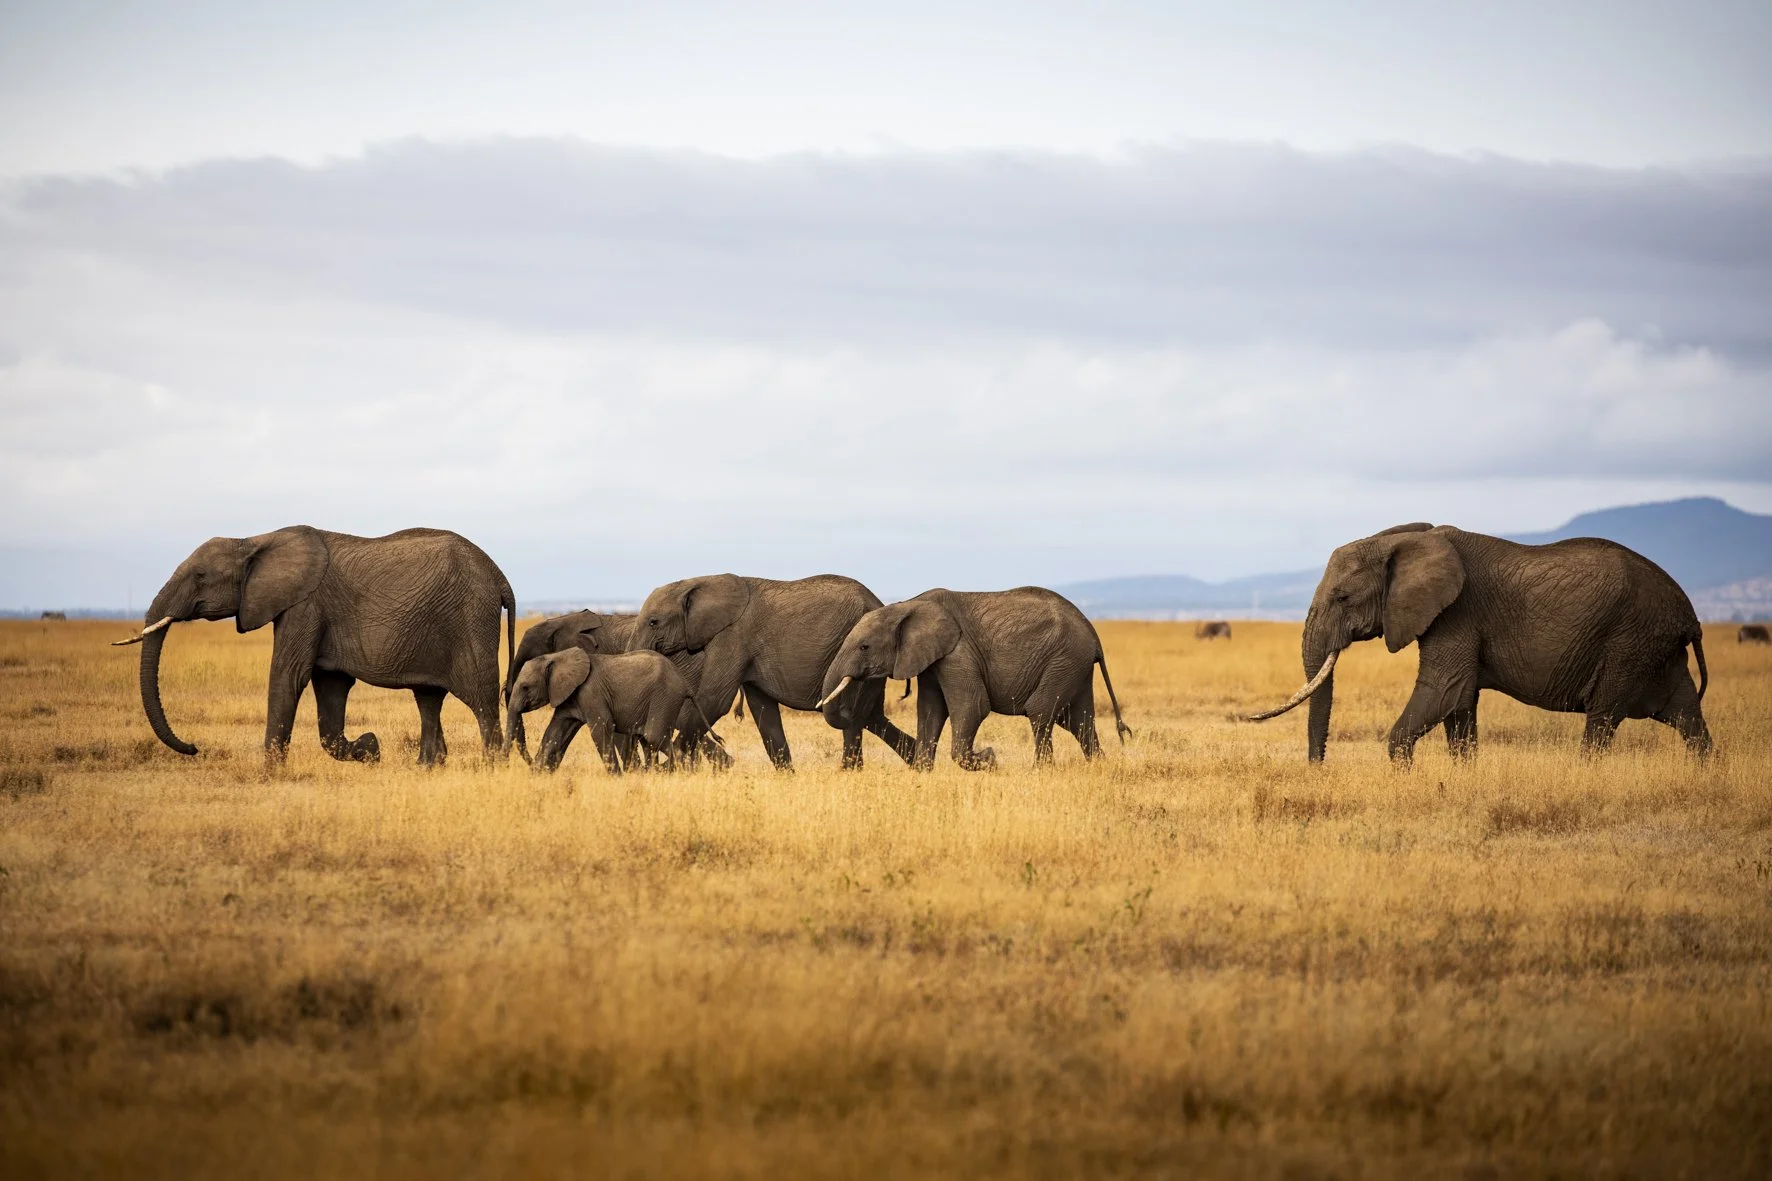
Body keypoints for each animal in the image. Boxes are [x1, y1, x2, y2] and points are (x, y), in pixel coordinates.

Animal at [114, 526, 514, 765]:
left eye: (200, 576)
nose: (194, 747)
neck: (254, 540)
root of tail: (500, 577)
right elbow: (331, 686)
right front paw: (371, 748)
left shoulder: (304, 605)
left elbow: (288, 674)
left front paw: (271, 772)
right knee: (428, 698)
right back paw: (427, 766)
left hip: (470, 619)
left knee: (480, 698)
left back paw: (492, 767)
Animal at [507, 648, 719, 773]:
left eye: (525, 687)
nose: (530, 764)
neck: (556, 656)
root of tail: (684, 681)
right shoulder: (569, 696)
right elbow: (555, 731)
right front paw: (537, 773)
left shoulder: (591, 692)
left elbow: (600, 730)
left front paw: (616, 776)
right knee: (647, 740)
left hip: (665, 696)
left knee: (654, 736)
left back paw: (680, 772)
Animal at [630, 574, 918, 770]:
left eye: (653, 622)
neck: (700, 581)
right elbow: (763, 711)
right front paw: (787, 775)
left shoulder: (733, 637)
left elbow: (714, 700)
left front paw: (670, 767)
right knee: (871, 716)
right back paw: (918, 761)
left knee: (858, 714)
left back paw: (851, 772)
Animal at [816, 587, 1132, 770]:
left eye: (864, 647)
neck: (906, 605)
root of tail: (1094, 635)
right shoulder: (932, 659)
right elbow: (930, 711)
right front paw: (922, 772)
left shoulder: (958, 652)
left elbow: (973, 706)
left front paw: (989, 760)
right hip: (1074, 665)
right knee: (1078, 720)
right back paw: (1099, 767)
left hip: (1065, 658)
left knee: (1041, 711)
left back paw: (1042, 772)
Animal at [1244, 523, 1710, 764]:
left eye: (1342, 598)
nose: (1317, 769)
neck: (1404, 539)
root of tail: (1689, 614)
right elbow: (1460, 706)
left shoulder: (1457, 614)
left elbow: (1443, 692)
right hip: (1655, 648)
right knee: (1686, 713)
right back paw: (1706, 772)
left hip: (1629, 640)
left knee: (1603, 717)